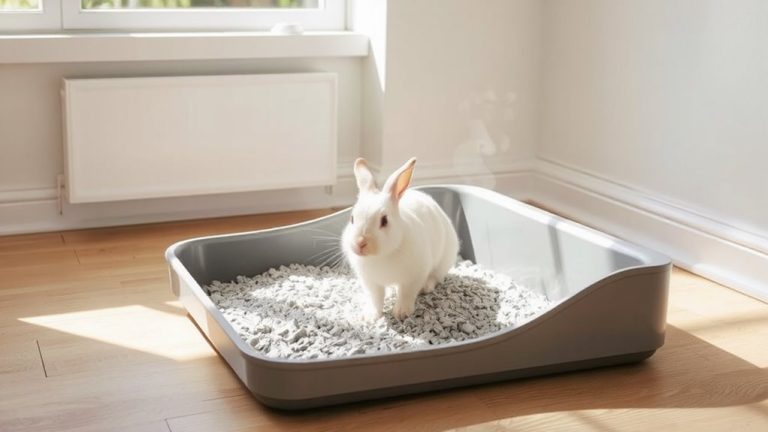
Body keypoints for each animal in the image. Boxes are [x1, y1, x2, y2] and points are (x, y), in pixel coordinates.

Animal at [342, 157, 460, 321]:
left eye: (384, 221)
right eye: (352, 218)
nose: (360, 243)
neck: (381, 255)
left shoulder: (414, 277)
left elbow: (406, 294)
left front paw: (401, 313)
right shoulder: (371, 282)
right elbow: (375, 298)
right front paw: (371, 315)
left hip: (442, 263)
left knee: (435, 277)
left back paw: (426, 287)